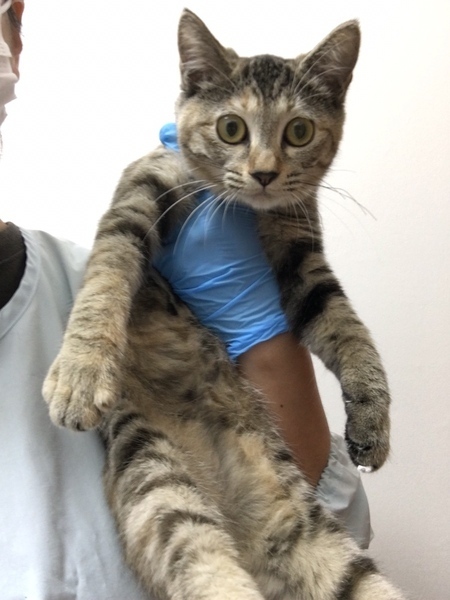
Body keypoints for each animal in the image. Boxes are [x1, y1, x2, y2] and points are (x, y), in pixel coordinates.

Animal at [43, 9, 402, 600]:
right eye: (231, 127)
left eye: (299, 131)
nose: (264, 172)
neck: (244, 211)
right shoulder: (137, 194)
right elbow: (107, 274)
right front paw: (80, 373)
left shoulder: (302, 256)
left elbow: (346, 325)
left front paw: (372, 420)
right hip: (158, 483)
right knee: (203, 560)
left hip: (311, 535)